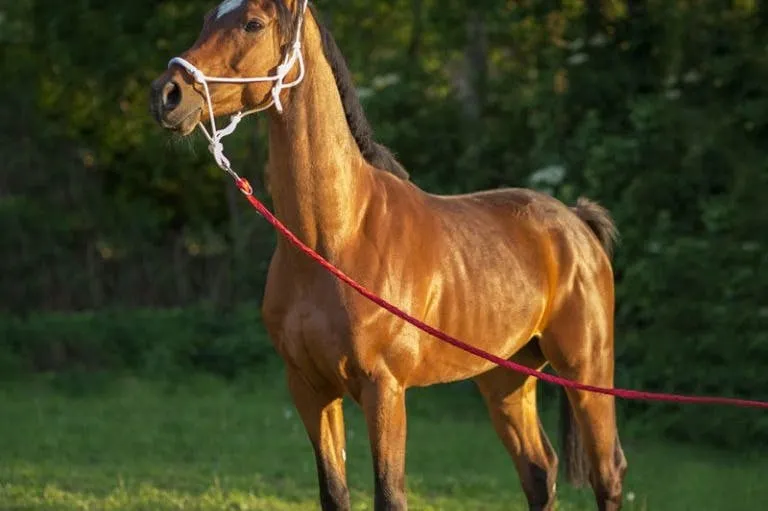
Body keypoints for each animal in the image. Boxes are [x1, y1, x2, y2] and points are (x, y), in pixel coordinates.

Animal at [149, 1, 627, 509]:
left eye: (253, 23)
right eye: (206, 19)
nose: (167, 94)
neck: (337, 241)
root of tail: (576, 221)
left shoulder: (384, 390)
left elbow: (390, 494)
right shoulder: (310, 389)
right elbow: (334, 493)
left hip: (587, 370)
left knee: (607, 473)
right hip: (505, 378)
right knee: (539, 471)